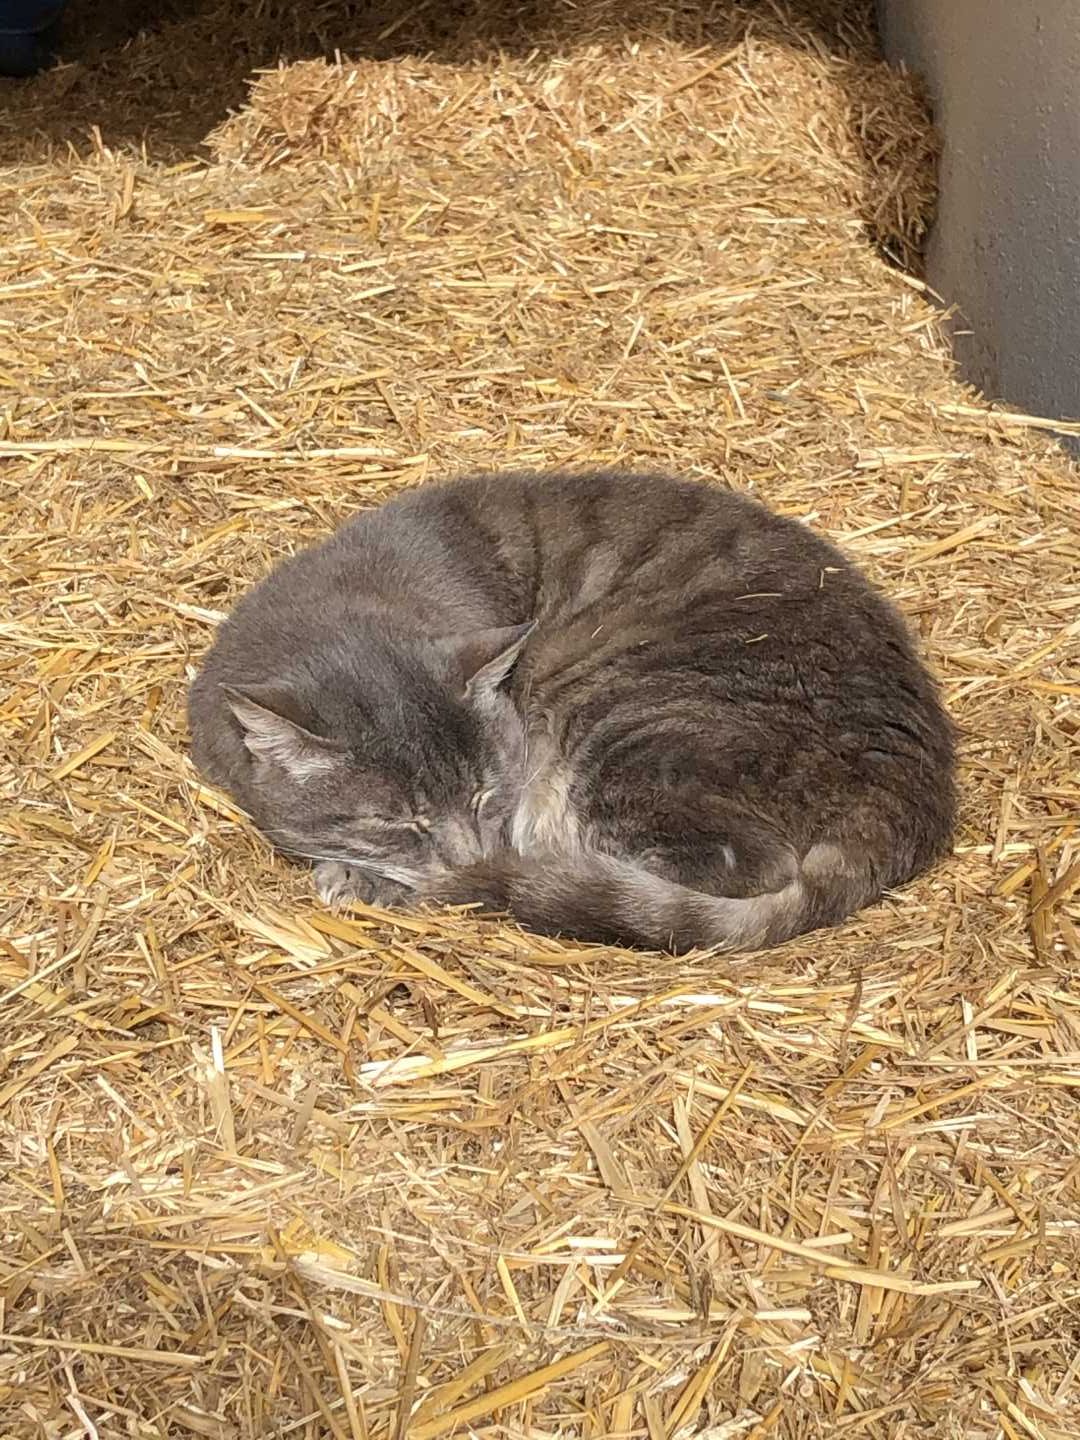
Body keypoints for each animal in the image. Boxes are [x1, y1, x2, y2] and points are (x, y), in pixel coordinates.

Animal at [187, 468, 956, 953]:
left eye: (486, 793)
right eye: (399, 820)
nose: (471, 854)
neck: (358, 598)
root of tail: (907, 794)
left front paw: (366, 878)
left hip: (630, 723)